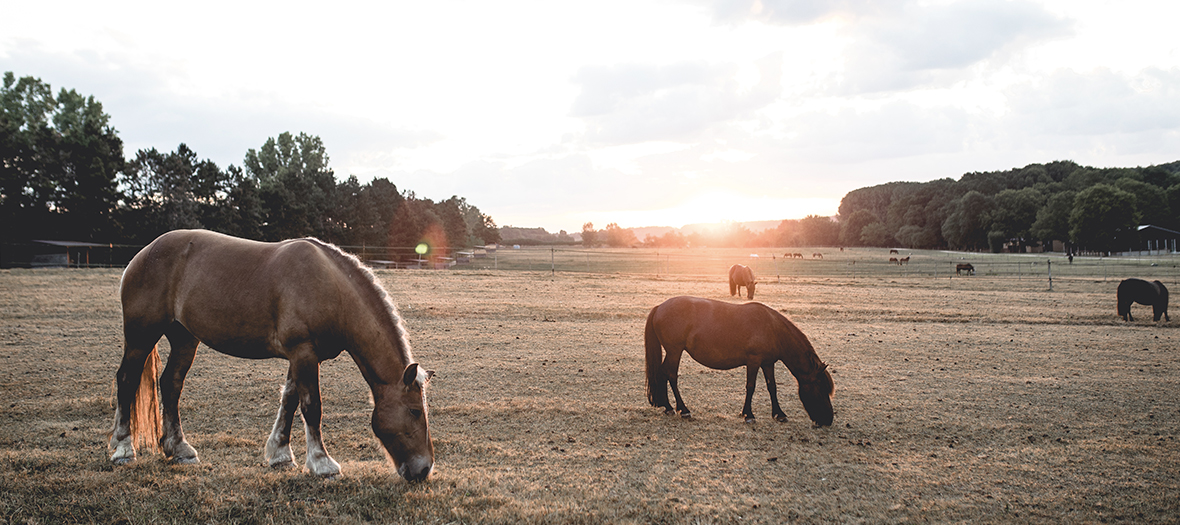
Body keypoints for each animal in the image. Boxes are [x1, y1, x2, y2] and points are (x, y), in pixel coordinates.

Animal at [108, 227, 434, 481]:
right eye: (414, 411)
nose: (424, 469)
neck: (331, 288)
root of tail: (143, 254)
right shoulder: (303, 352)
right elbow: (311, 406)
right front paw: (322, 463)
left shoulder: (301, 356)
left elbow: (289, 401)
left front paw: (280, 454)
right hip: (141, 335)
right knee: (127, 379)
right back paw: (123, 448)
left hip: (185, 338)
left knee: (171, 384)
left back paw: (179, 448)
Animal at [646, 294, 830, 424]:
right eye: (821, 388)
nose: (828, 420)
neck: (772, 328)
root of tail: (659, 307)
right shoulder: (754, 361)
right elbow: (751, 386)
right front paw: (748, 414)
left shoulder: (768, 363)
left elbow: (772, 387)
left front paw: (779, 414)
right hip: (675, 351)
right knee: (671, 375)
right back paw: (683, 409)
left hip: (672, 352)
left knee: (662, 373)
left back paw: (667, 407)